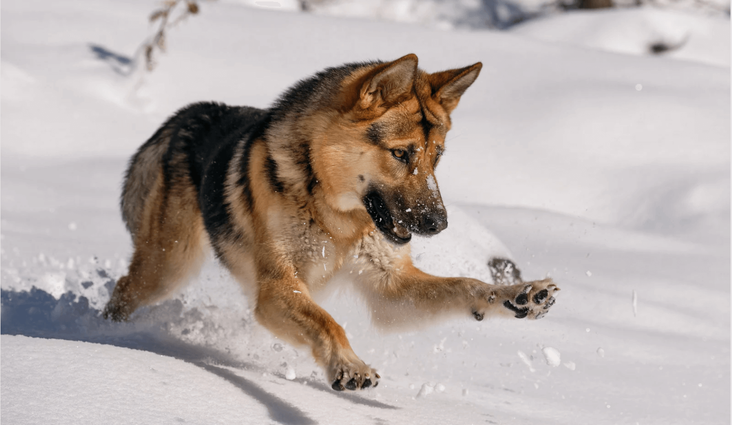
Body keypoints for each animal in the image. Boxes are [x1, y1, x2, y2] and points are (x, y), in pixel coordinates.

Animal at [104, 53, 560, 390]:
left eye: (438, 156)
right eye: (401, 153)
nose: (439, 224)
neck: (336, 217)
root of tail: (189, 114)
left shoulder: (390, 289)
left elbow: (467, 285)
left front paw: (521, 294)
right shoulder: (276, 288)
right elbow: (328, 322)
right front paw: (349, 365)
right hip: (169, 268)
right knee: (123, 290)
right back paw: (107, 337)